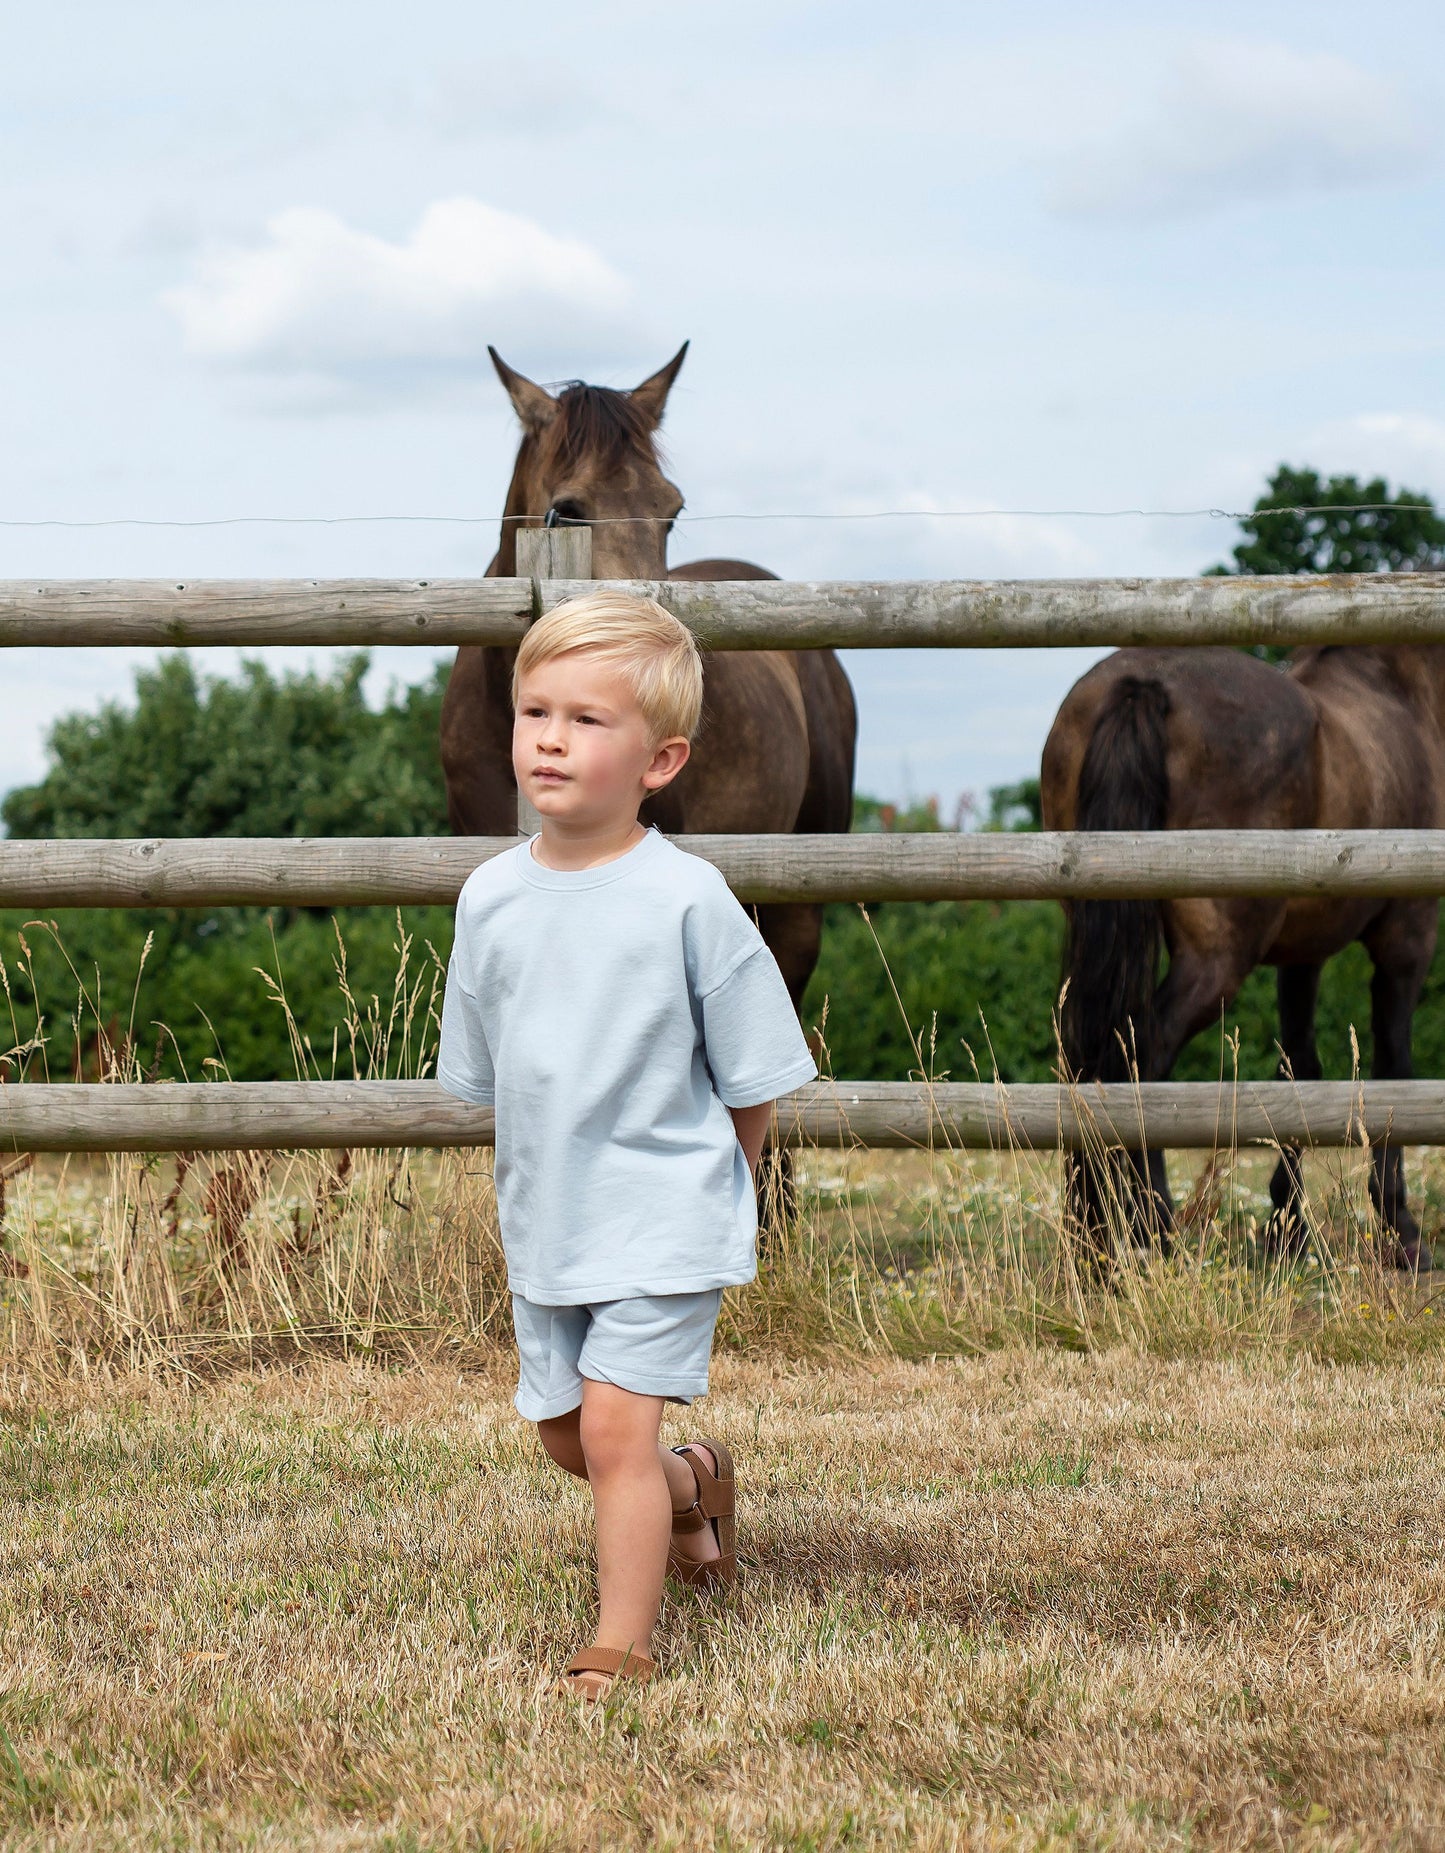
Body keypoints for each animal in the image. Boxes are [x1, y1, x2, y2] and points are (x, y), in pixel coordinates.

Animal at [1044, 641, 1437, 1274]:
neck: (1400, 688)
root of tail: (1144, 684)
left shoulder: (1303, 951)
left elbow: (1300, 1069)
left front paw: (1287, 1227)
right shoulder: (1408, 936)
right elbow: (1393, 1070)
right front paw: (1401, 1227)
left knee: (1085, 1056)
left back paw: (1094, 1231)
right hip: (1217, 959)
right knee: (1143, 1055)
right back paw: (1155, 1226)